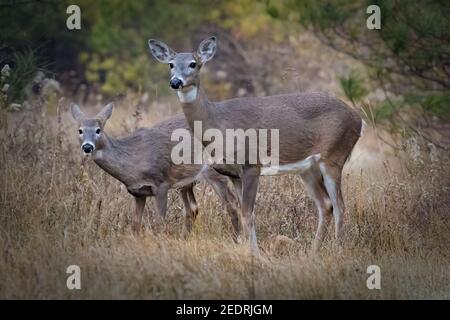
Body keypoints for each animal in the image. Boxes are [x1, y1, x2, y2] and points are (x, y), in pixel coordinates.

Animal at [69, 103, 243, 240]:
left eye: (98, 130)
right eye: (80, 130)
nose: (87, 147)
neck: (133, 163)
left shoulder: (162, 183)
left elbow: (160, 223)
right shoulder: (138, 193)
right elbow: (135, 225)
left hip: (215, 171)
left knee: (232, 203)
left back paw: (237, 239)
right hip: (187, 181)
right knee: (193, 209)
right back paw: (185, 238)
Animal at [149, 37, 364, 252]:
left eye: (193, 64)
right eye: (171, 64)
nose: (175, 82)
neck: (218, 122)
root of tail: (358, 119)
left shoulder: (251, 165)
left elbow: (247, 213)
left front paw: (255, 254)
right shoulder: (233, 174)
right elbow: (245, 211)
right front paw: (249, 250)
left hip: (334, 156)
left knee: (340, 206)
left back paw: (337, 250)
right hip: (308, 169)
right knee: (325, 205)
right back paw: (313, 252)